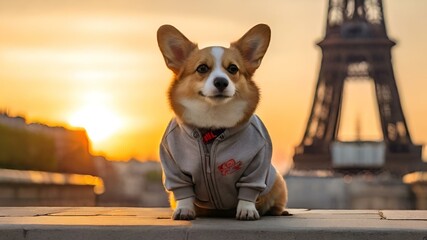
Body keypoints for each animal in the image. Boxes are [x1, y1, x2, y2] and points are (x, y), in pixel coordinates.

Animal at [157, 23, 288, 220]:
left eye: (233, 69)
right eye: (202, 68)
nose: (221, 82)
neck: (213, 124)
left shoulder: (257, 165)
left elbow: (249, 190)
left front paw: (247, 210)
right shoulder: (173, 166)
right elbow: (183, 191)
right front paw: (184, 210)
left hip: (278, 182)